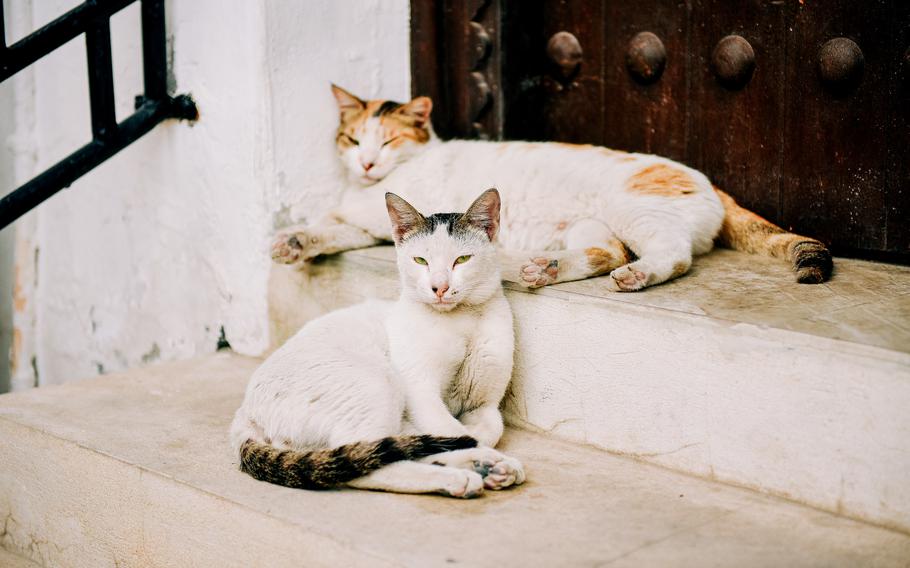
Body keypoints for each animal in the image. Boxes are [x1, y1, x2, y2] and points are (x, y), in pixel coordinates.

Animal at [232, 187, 524, 496]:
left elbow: (488, 430)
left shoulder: (484, 406)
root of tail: (245, 411)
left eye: (462, 260)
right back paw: (464, 476)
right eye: (420, 261)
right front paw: (476, 451)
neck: (464, 321)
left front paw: (477, 447)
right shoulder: (420, 391)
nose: (440, 287)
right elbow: (455, 431)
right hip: (378, 382)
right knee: (363, 464)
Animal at [268, 84, 832, 292]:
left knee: (672, 256)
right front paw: (293, 243)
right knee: (604, 252)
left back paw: (635, 275)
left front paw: (293, 236)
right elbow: (332, 227)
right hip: (590, 225)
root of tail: (710, 181)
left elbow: (330, 220)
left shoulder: (383, 216)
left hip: (633, 209)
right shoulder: (376, 226)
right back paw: (539, 268)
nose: (366, 163)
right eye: (352, 139)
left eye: (386, 141)